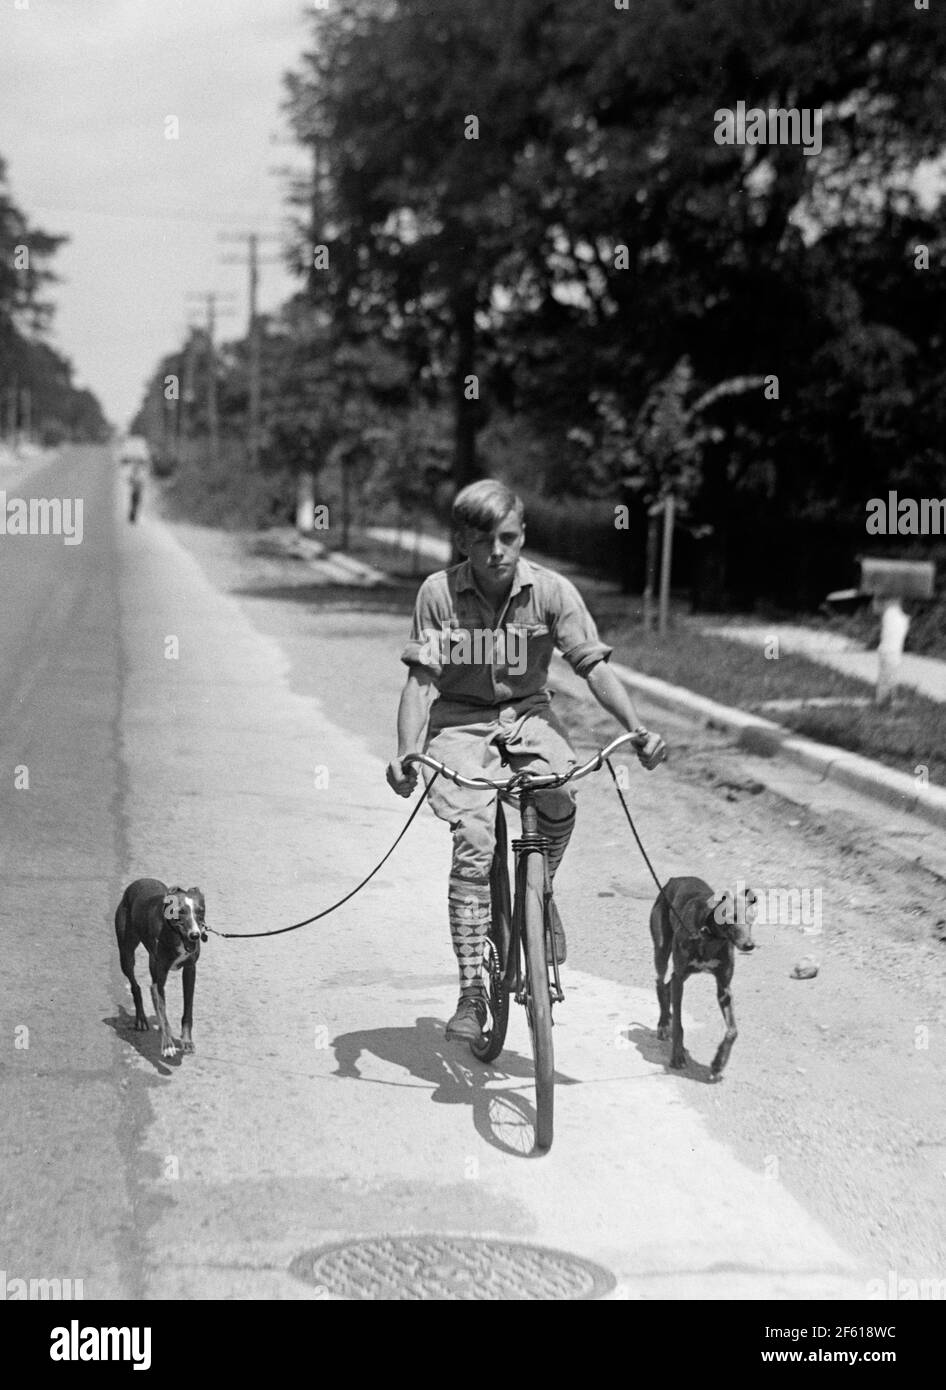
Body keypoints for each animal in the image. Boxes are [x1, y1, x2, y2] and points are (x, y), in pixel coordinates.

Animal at [114, 872, 206, 1056]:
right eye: (180, 912)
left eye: (201, 912)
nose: (195, 935)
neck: (174, 934)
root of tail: (138, 881)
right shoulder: (159, 980)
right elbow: (163, 1014)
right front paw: (168, 1044)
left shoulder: (190, 970)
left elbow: (188, 1009)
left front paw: (186, 1041)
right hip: (126, 954)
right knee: (135, 986)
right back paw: (141, 1019)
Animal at [652, 872, 755, 1078]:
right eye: (731, 918)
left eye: (751, 919)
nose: (749, 945)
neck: (709, 935)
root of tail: (674, 879)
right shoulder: (680, 977)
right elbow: (678, 1025)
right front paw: (677, 1056)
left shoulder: (724, 988)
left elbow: (733, 1031)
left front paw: (718, 1063)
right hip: (662, 950)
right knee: (659, 983)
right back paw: (663, 1024)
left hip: (682, 974)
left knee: (667, 986)